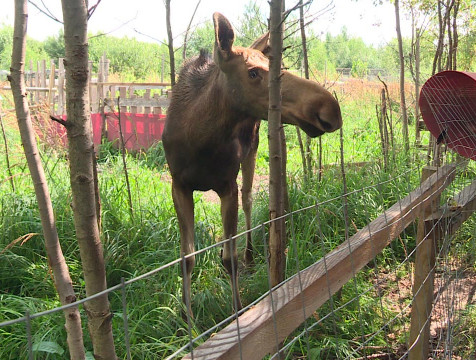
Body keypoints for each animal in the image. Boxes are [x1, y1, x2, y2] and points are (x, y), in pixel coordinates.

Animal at [164, 12, 342, 316]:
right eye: (253, 72)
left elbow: (229, 257)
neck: (200, 140)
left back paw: (250, 255)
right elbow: (186, 257)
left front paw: (236, 310)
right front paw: (186, 317)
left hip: (252, 151)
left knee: (249, 199)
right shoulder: (179, 185)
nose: (330, 108)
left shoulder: (227, 186)